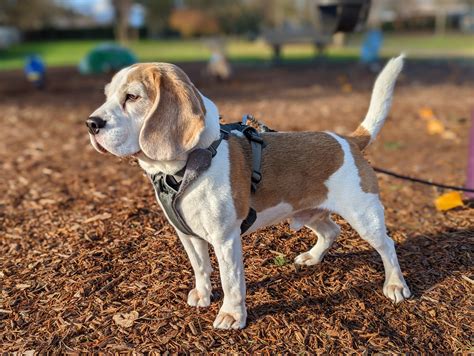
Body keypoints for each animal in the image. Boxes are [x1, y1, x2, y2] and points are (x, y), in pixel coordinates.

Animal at [88, 56, 412, 330]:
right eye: (106, 96)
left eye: (132, 97)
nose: (90, 124)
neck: (187, 167)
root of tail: (348, 139)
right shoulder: (188, 236)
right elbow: (201, 268)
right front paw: (203, 295)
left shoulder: (226, 240)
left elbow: (231, 282)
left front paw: (232, 315)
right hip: (307, 212)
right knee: (332, 231)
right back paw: (313, 256)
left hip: (365, 217)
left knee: (387, 246)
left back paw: (395, 285)